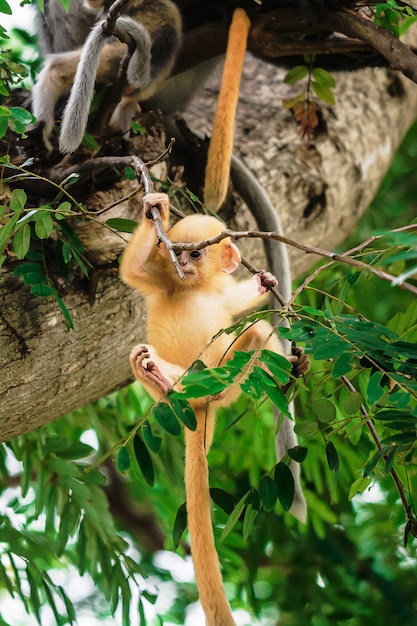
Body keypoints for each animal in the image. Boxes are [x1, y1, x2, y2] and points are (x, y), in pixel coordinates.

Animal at [118, 193, 308, 624]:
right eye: (179, 253)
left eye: (197, 254)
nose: (184, 263)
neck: (195, 286)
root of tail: (199, 406)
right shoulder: (162, 278)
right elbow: (134, 268)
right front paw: (154, 206)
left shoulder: (220, 293)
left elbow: (237, 302)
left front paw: (263, 282)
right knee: (150, 361)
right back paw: (158, 376)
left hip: (227, 381)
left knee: (255, 333)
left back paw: (289, 368)